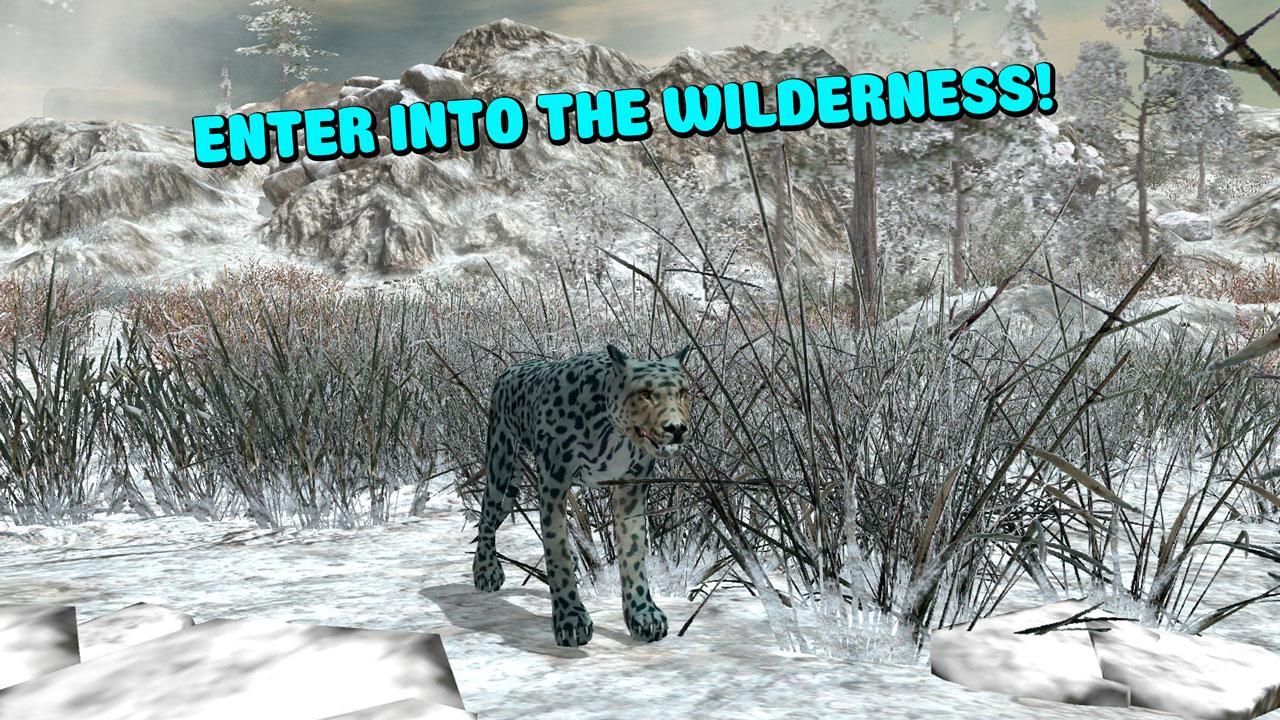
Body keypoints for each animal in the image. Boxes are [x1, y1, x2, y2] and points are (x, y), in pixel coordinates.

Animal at [472, 344, 692, 647]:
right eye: (645, 393)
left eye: (682, 392)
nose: (676, 428)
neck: (613, 433)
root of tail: (512, 367)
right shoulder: (553, 481)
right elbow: (557, 550)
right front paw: (571, 621)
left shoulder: (631, 487)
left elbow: (633, 552)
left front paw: (643, 616)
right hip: (501, 462)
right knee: (487, 515)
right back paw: (485, 571)